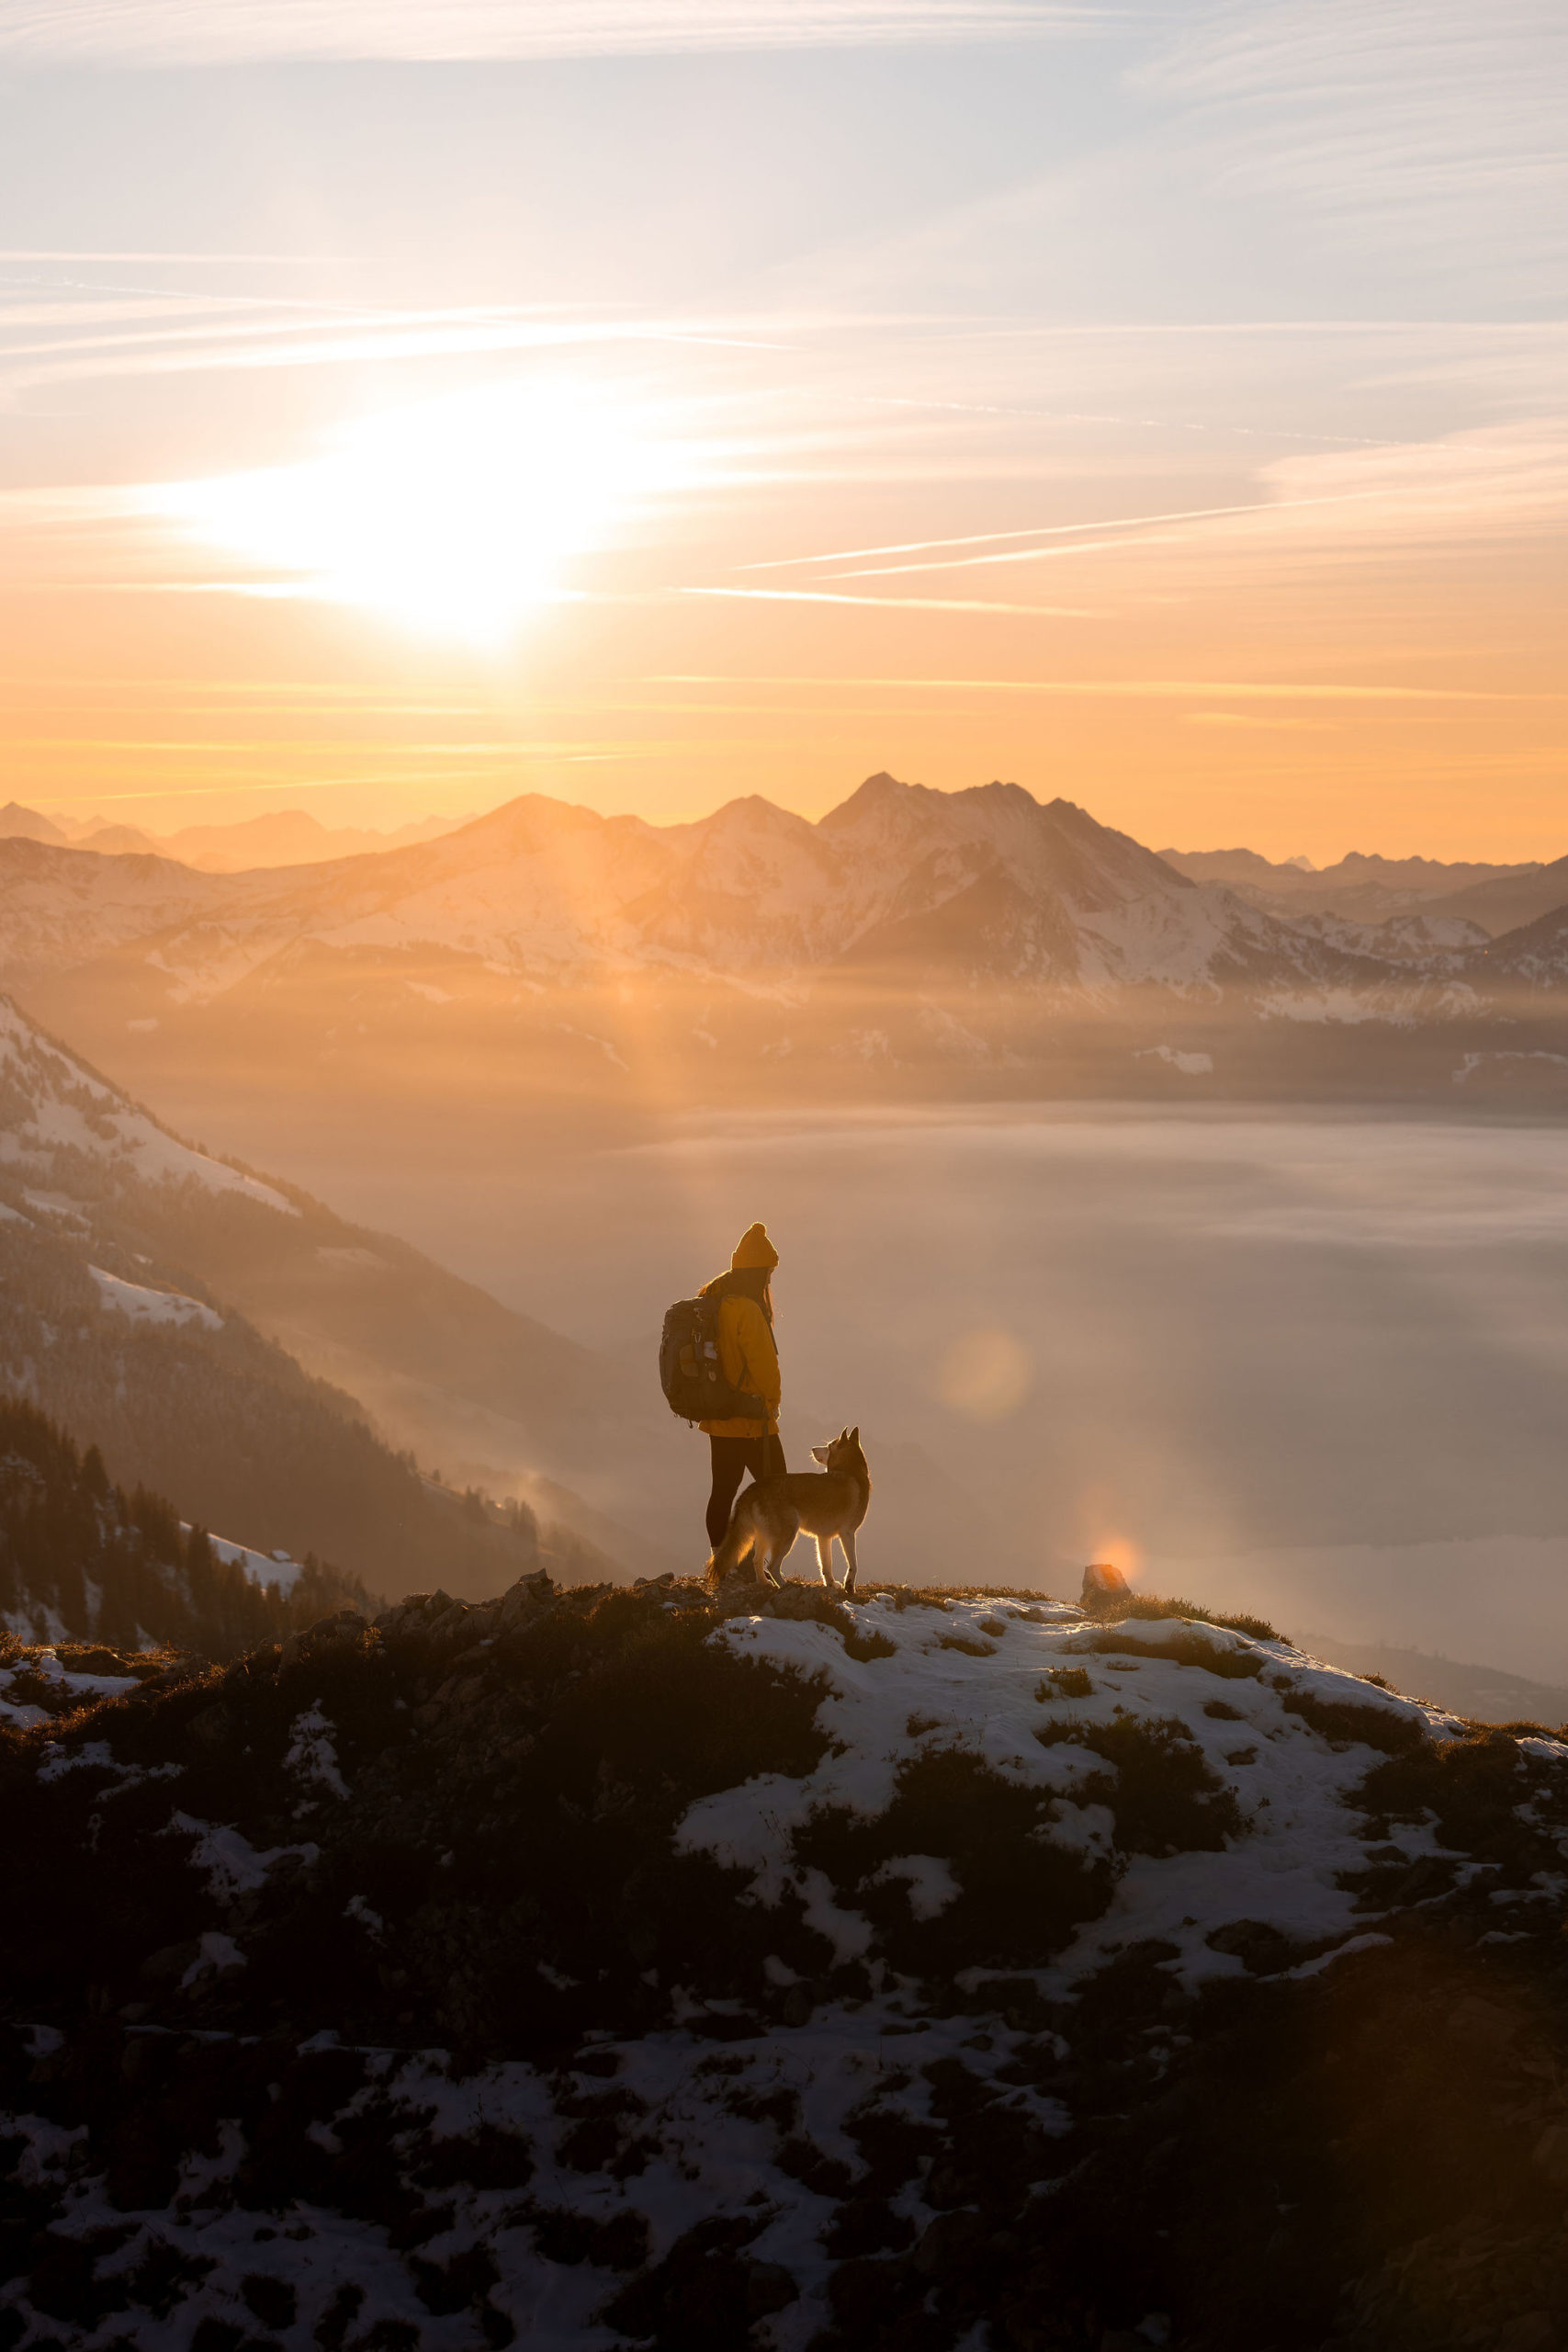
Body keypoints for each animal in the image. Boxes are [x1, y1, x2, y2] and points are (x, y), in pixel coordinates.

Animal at [709, 1420, 869, 1589]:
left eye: (828, 1446)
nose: (812, 1448)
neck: (852, 1471)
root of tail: (754, 1487)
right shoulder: (848, 1533)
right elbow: (853, 1565)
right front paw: (849, 1586)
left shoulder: (823, 1537)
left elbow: (826, 1566)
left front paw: (831, 1584)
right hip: (788, 1535)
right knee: (771, 1566)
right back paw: (784, 1585)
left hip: (764, 1537)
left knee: (757, 1561)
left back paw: (765, 1583)